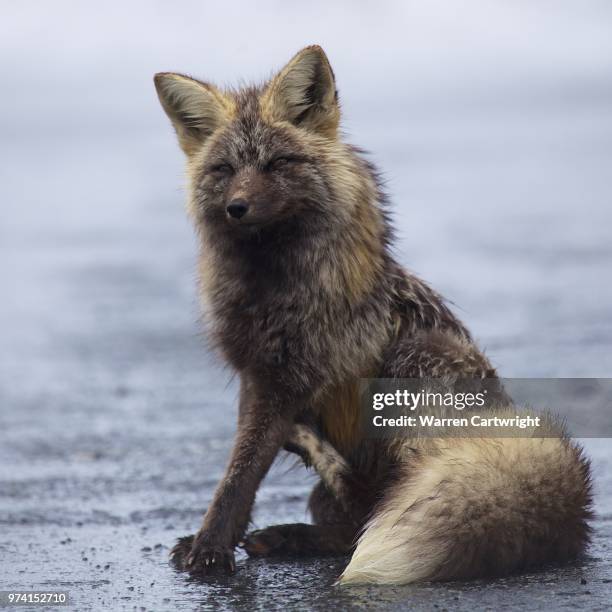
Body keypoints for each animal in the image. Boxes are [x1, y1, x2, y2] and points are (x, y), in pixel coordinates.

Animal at [154, 46, 592, 584]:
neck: (270, 285)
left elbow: (239, 475)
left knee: (372, 507)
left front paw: (210, 550)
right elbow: (242, 471)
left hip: (411, 367)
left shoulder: (285, 378)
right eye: (224, 168)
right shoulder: (254, 372)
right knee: (352, 521)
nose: (237, 207)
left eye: (277, 163)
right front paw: (212, 540)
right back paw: (294, 526)